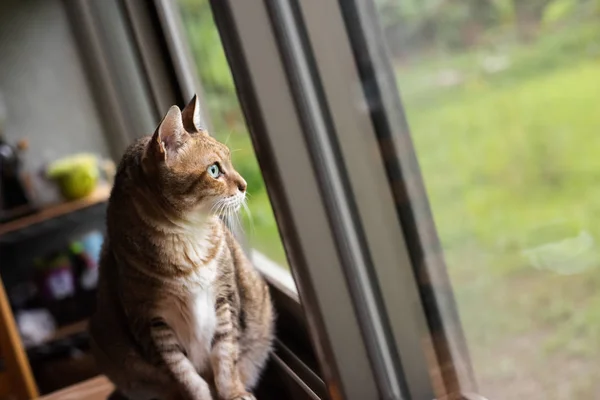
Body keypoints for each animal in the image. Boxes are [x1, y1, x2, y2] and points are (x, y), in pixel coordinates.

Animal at [89, 97, 274, 400]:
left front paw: (234, 393)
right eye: (214, 170)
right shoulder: (151, 323)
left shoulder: (225, 298)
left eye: (229, 159)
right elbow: (185, 375)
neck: (185, 239)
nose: (245, 185)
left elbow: (225, 358)